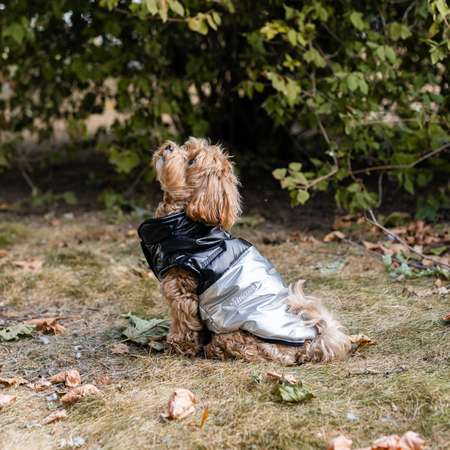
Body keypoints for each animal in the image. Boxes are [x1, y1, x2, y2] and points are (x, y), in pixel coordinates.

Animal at [138, 138, 352, 366]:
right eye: (185, 146)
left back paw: (215, 349)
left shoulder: (182, 289)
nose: (168, 146)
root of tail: (311, 343)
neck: (187, 225)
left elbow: (183, 323)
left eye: (192, 161)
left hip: (241, 335)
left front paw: (178, 346)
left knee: (245, 349)